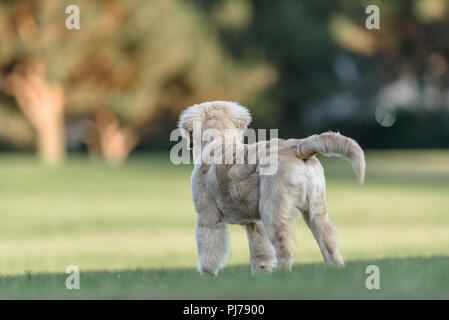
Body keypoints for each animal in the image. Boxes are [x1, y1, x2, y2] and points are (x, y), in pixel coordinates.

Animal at [178, 100, 364, 276]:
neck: (217, 142)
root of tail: (297, 147)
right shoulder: (255, 222)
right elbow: (260, 251)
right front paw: (260, 273)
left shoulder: (208, 216)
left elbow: (208, 248)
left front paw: (207, 273)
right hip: (315, 211)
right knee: (330, 246)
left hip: (272, 210)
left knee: (286, 249)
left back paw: (281, 276)